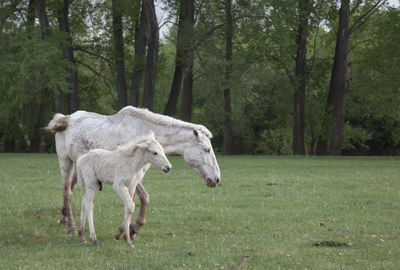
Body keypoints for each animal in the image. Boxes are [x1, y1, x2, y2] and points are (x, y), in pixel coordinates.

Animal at [47, 106, 222, 235]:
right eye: (206, 150)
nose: (217, 179)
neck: (142, 133)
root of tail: (66, 119)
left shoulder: (137, 174)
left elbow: (137, 199)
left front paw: (129, 229)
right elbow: (142, 198)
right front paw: (133, 227)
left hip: (79, 167)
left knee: (71, 190)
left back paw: (64, 218)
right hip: (65, 162)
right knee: (67, 192)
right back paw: (71, 226)